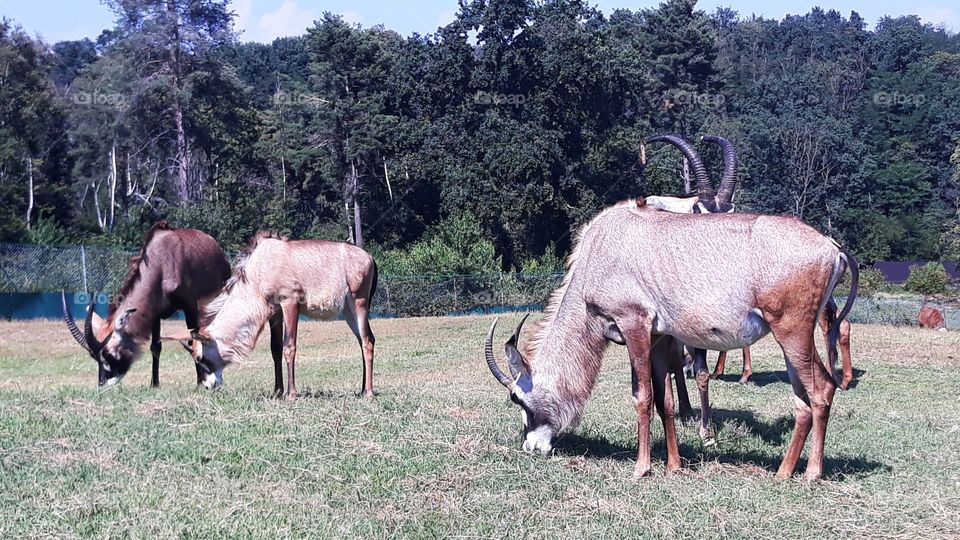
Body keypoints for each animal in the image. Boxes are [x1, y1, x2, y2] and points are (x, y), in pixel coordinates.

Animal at [62, 221, 231, 386]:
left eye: (109, 354)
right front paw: (154, 384)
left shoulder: (189, 307)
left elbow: (193, 341)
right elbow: (155, 347)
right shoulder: (154, 313)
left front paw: (200, 382)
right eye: (93, 356)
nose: (103, 384)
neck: (162, 265)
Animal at [174, 232, 378, 399]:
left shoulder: (290, 302)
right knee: (363, 340)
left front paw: (291, 393)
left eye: (200, 357)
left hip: (358, 302)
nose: (208, 386)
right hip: (348, 311)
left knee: (367, 341)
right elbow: (276, 349)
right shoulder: (276, 312)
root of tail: (369, 257)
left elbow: (289, 347)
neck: (258, 273)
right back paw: (361, 389)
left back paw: (368, 392)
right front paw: (278, 391)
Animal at [484, 198, 859, 480]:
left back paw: (811, 474)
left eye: (517, 398)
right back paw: (783, 471)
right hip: (791, 338)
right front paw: (674, 465)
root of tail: (832, 248)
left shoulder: (634, 325)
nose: (532, 447)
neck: (602, 249)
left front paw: (642, 468)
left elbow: (643, 397)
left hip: (792, 331)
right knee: (805, 399)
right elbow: (666, 402)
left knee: (820, 390)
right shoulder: (660, 337)